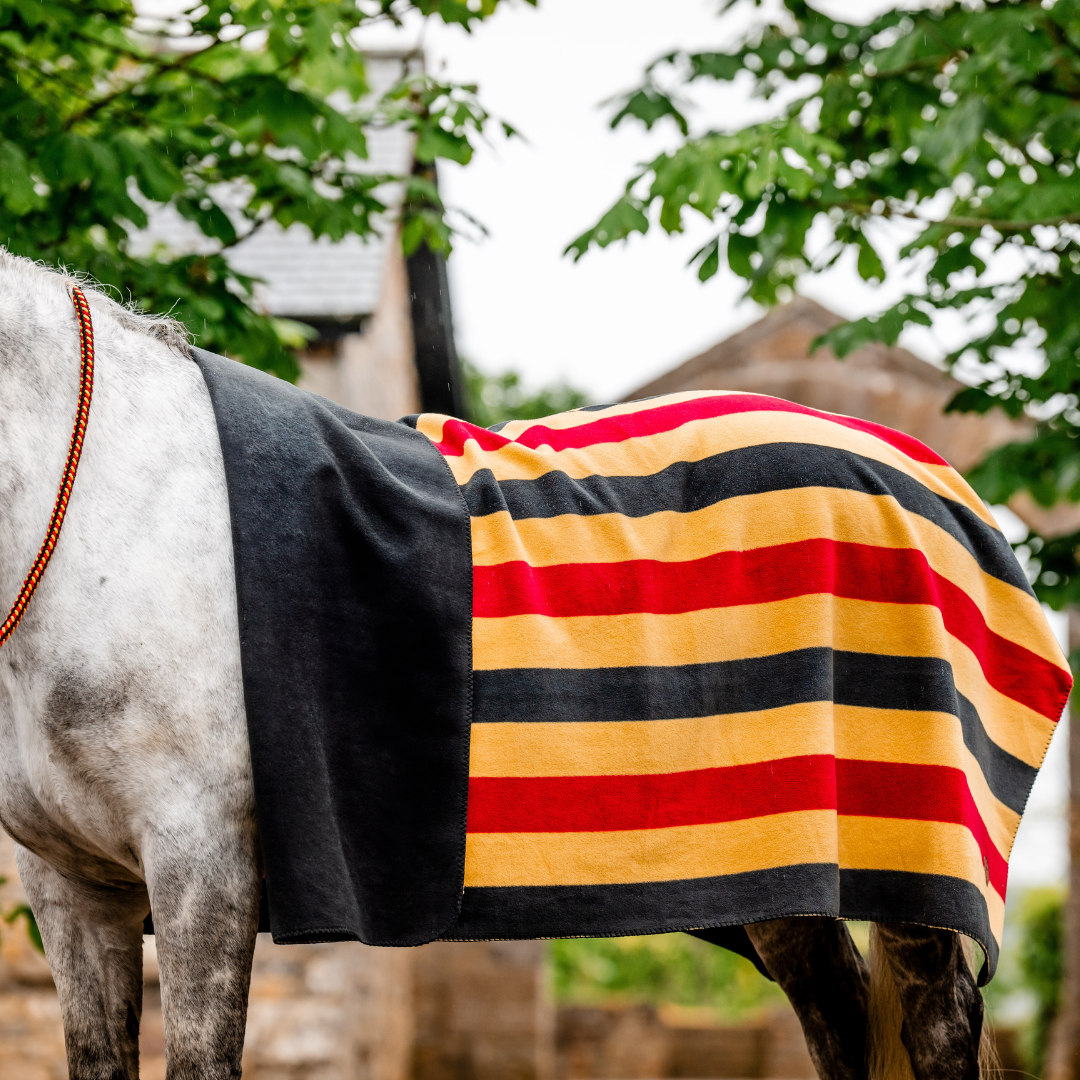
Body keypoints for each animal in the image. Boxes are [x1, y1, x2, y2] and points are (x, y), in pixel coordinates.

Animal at [0, 250, 1038, 1080]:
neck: (107, 509)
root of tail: (924, 471)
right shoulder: (74, 892)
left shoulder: (201, 867)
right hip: (782, 855)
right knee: (834, 1005)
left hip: (912, 856)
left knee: (936, 1024)